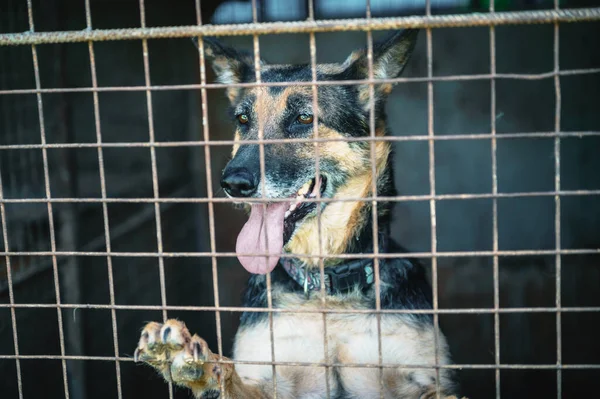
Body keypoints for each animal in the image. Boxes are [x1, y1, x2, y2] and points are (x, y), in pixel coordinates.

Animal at [134, 29, 462, 398]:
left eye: (304, 118)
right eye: (243, 120)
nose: (233, 183)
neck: (325, 290)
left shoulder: (428, 382)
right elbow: (230, 376)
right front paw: (195, 363)